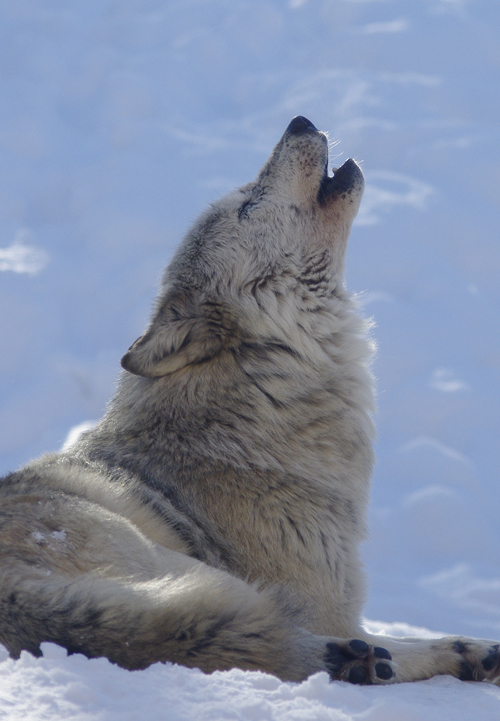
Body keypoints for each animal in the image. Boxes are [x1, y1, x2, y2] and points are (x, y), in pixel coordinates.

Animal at [0, 115, 500, 684]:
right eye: (248, 204)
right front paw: (463, 647)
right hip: (190, 573)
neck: (257, 404)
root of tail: (18, 603)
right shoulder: (325, 605)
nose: (300, 120)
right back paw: (377, 660)